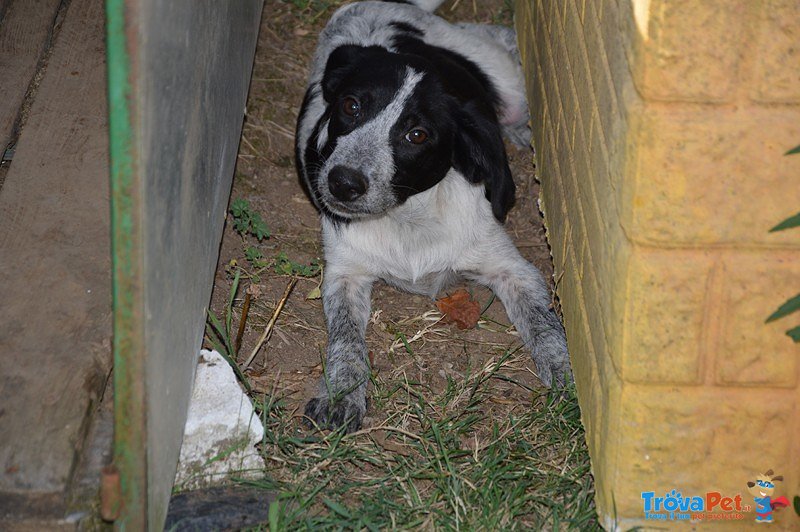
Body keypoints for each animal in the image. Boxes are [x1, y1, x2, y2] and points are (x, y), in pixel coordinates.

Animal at [296, 0, 572, 432]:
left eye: (417, 135)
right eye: (350, 106)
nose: (342, 183)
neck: (409, 218)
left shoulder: (514, 269)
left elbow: (545, 324)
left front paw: (565, 374)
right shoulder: (345, 276)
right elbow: (345, 340)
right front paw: (341, 393)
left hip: (505, 81)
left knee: (499, 41)